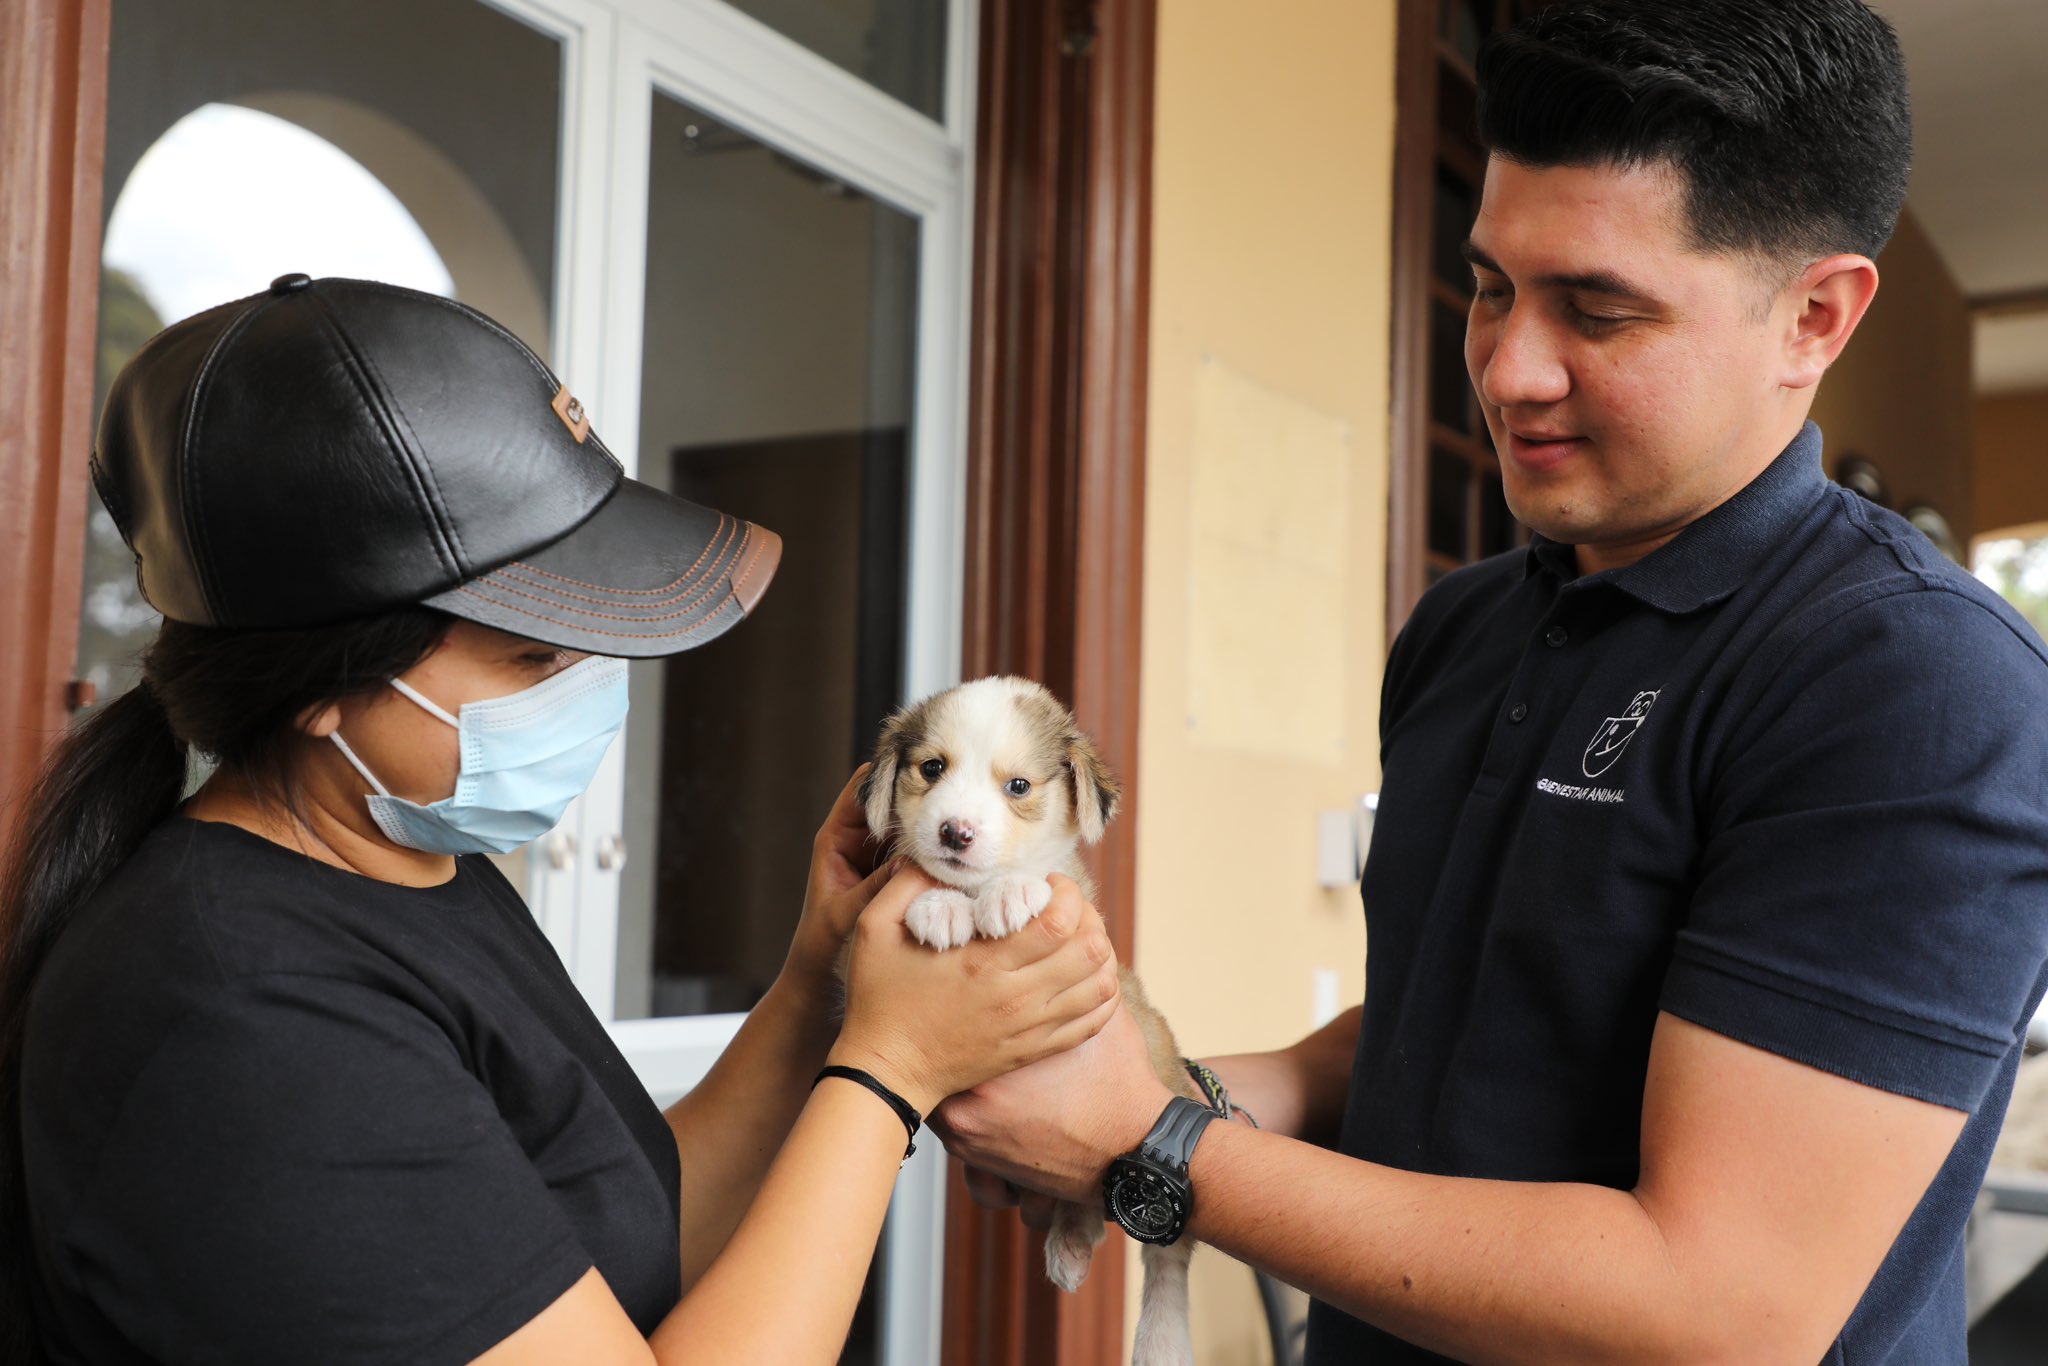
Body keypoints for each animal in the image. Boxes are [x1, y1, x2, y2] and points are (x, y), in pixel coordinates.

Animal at [860, 679, 1204, 1366]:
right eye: (931, 768)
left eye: (1018, 786)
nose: (956, 832)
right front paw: (939, 906)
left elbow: (1039, 880)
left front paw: (1014, 892)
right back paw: (1069, 1246)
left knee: (1169, 1258)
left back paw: (1158, 1337)